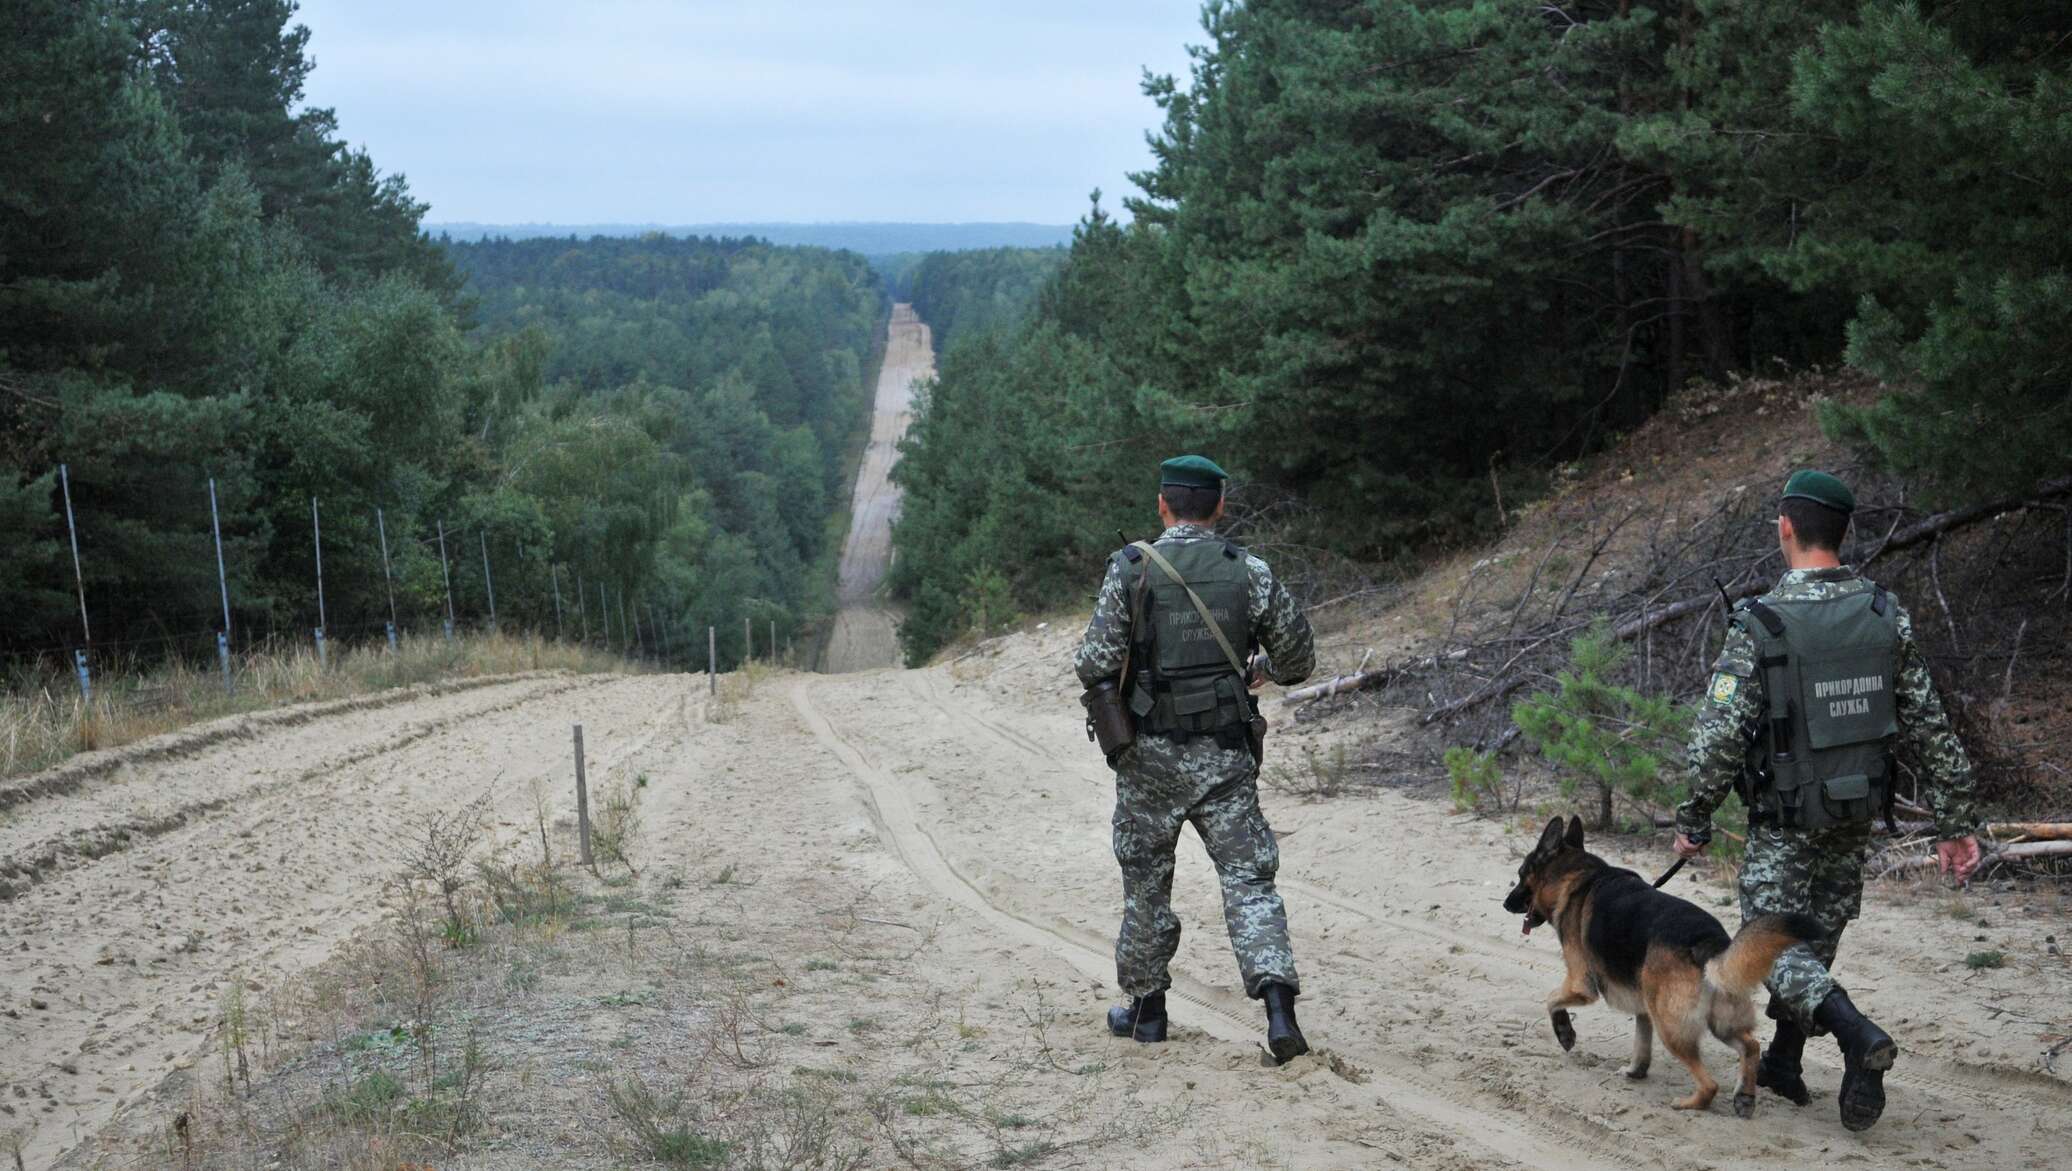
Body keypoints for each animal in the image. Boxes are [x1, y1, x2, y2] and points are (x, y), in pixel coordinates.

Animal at [1508, 812, 1815, 1110]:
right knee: (1750, 1047)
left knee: (1710, 1084)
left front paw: (1564, 1032)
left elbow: (1551, 1000)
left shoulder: (1580, 985)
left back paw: (1690, 1103)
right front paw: (1635, 1071)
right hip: (1719, 1021)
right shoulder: (1643, 1007)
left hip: (1671, 1028)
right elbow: (1641, 1043)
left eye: (1521, 874)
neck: (1577, 875)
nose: (1505, 903)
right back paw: (1745, 1096)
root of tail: (1709, 942)